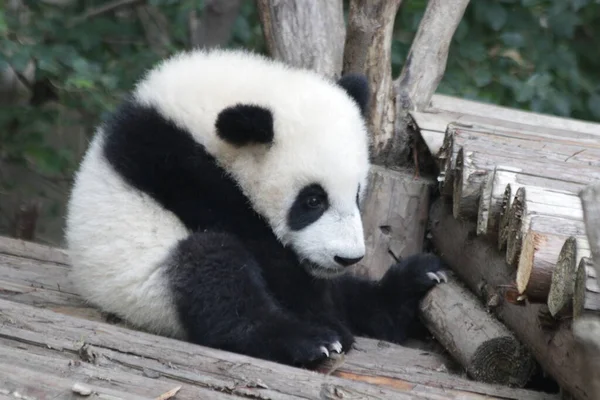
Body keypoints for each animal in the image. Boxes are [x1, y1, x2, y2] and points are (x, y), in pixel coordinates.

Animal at [67, 48, 446, 368]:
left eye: (356, 194)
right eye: (312, 200)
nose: (347, 258)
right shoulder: (177, 165)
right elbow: (260, 246)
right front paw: (331, 326)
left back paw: (409, 287)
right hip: (144, 286)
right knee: (215, 273)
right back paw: (308, 341)